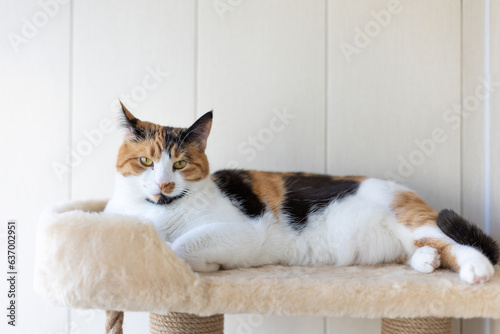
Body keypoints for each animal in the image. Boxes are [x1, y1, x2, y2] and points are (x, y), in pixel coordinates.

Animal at [103, 103, 498, 284]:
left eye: (180, 164)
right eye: (145, 161)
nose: (163, 184)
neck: (161, 210)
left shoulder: (244, 231)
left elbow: (181, 245)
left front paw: (187, 261)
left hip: (413, 221)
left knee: (458, 245)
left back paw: (475, 268)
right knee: (428, 251)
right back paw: (426, 261)